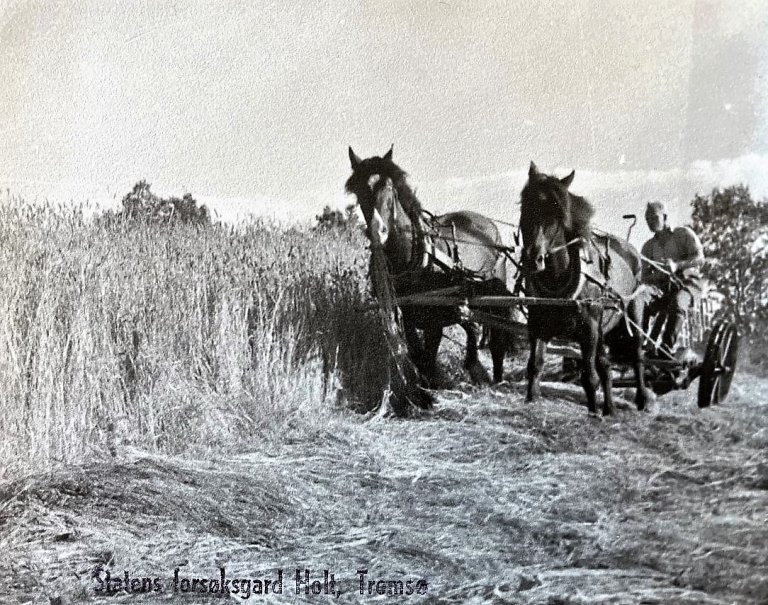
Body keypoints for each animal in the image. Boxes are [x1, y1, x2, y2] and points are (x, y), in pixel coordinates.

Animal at [344, 144, 510, 384]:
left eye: (389, 186)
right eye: (358, 190)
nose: (377, 231)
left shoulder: (435, 322)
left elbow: (428, 360)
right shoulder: (405, 319)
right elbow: (418, 357)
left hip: (495, 295)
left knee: (497, 340)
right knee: (471, 325)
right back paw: (475, 367)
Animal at [520, 160, 652, 416]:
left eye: (557, 214)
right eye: (526, 206)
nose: (533, 260)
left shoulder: (588, 328)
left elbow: (589, 377)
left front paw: (593, 413)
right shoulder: (537, 324)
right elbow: (535, 365)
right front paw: (532, 398)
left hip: (632, 314)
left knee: (637, 355)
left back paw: (642, 399)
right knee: (605, 364)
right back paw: (610, 408)